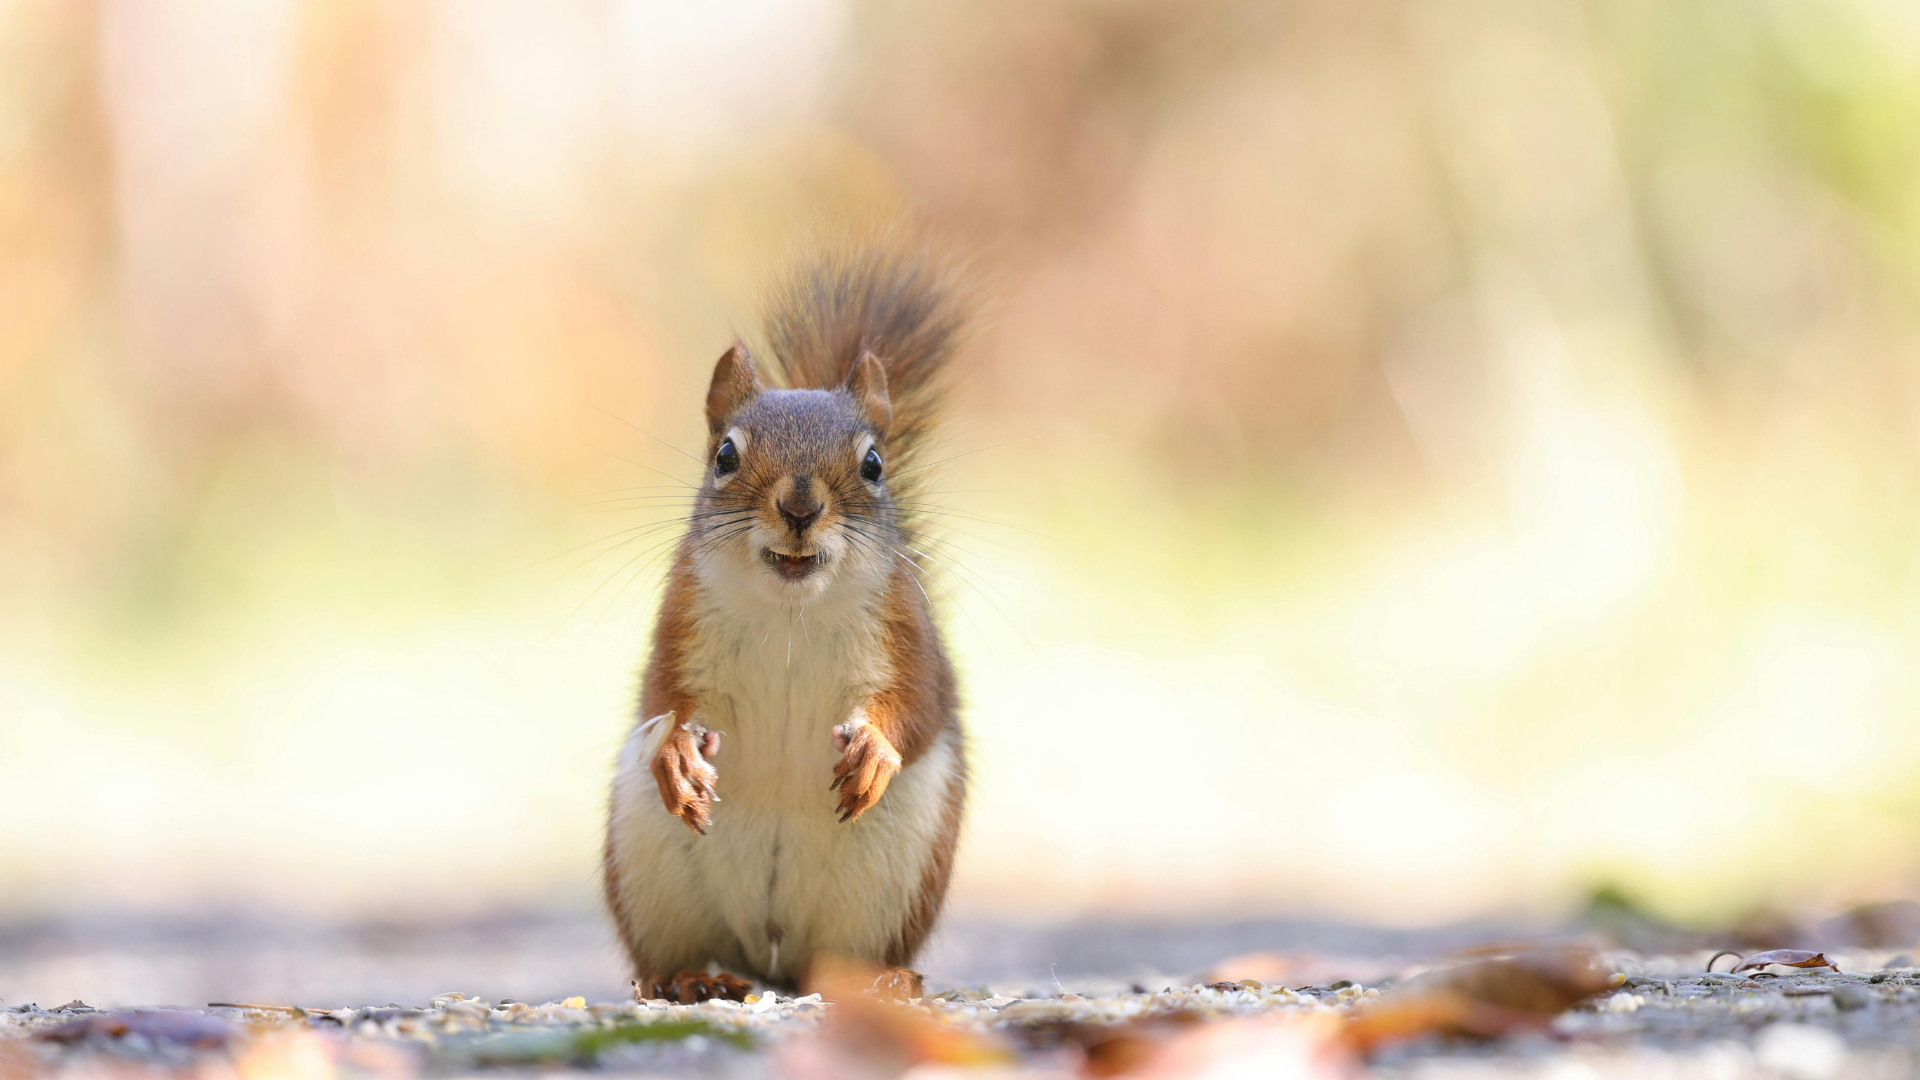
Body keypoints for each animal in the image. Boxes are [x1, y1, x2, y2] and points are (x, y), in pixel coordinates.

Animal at [602, 242, 970, 1004]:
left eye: (874, 463)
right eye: (725, 455)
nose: (800, 507)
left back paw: (878, 979)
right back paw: (688, 978)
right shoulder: (679, 620)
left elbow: (917, 703)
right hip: (647, 865)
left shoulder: (908, 633)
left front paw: (876, 750)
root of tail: (768, 956)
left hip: (896, 880)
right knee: (671, 956)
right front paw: (676, 753)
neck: (791, 610)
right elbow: (662, 698)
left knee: (839, 958)